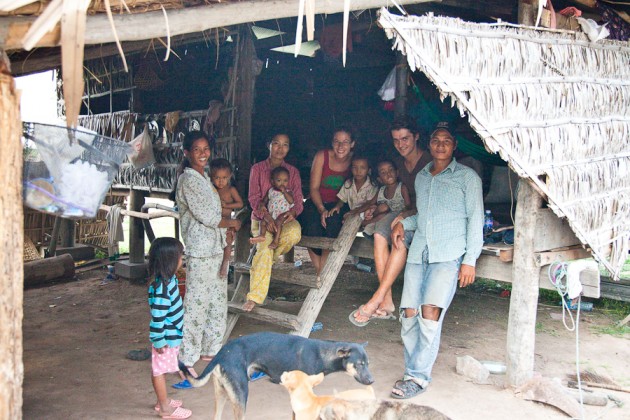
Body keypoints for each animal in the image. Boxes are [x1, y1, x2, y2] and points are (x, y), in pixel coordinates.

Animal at [183, 332, 374, 420]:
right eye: (359, 364)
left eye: (368, 363)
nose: (372, 380)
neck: (322, 354)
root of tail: (221, 353)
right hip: (241, 395)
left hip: (222, 394)